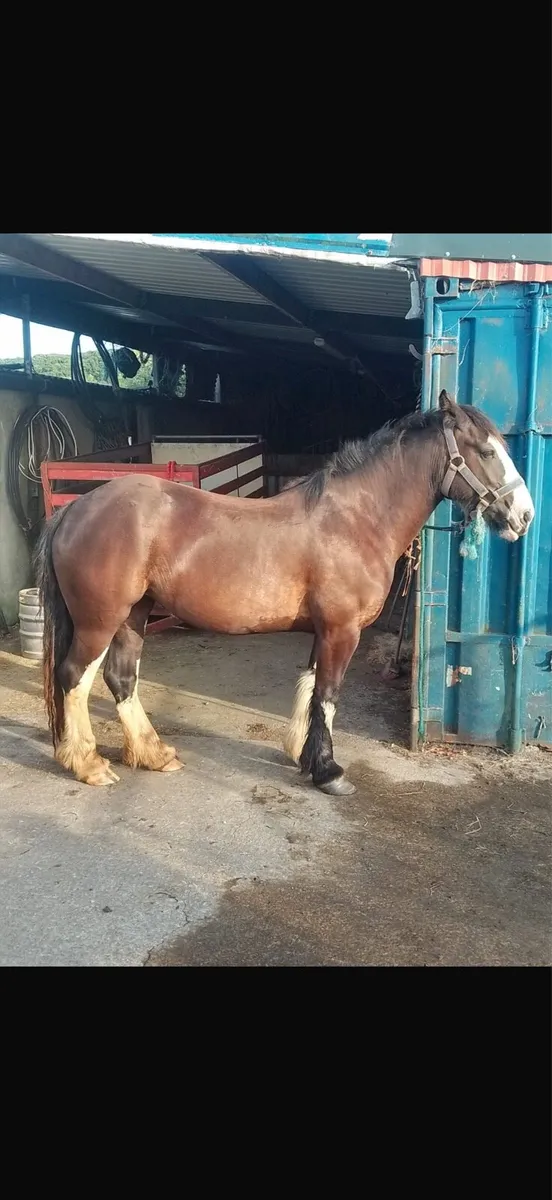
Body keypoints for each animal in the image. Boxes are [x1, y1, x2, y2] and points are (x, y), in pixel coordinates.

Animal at [34, 391, 534, 794]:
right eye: (486, 450)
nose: (524, 515)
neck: (355, 519)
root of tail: (76, 509)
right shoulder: (342, 630)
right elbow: (328, 694)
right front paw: (329, 773)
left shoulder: (325, 630)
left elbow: (311, 687)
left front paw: (304, 756)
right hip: (99, 620)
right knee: (74, 677)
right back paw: (89, 765)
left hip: (133, 615)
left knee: (121, 678)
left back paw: (154, 754)